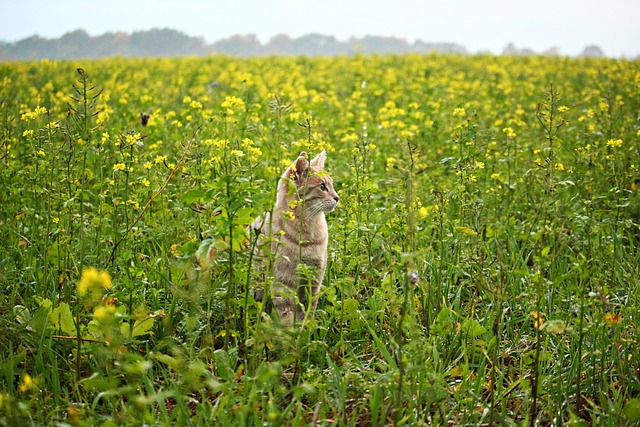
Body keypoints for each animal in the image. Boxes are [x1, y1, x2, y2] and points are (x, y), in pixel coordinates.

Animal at [251, 150, 340, 324]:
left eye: (332, 185)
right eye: (322, 187)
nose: (337, 197)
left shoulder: (314, 280)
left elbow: (306, 313)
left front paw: (305, 328)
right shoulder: (283, 283)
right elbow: (287, 316)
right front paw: (290, 331)